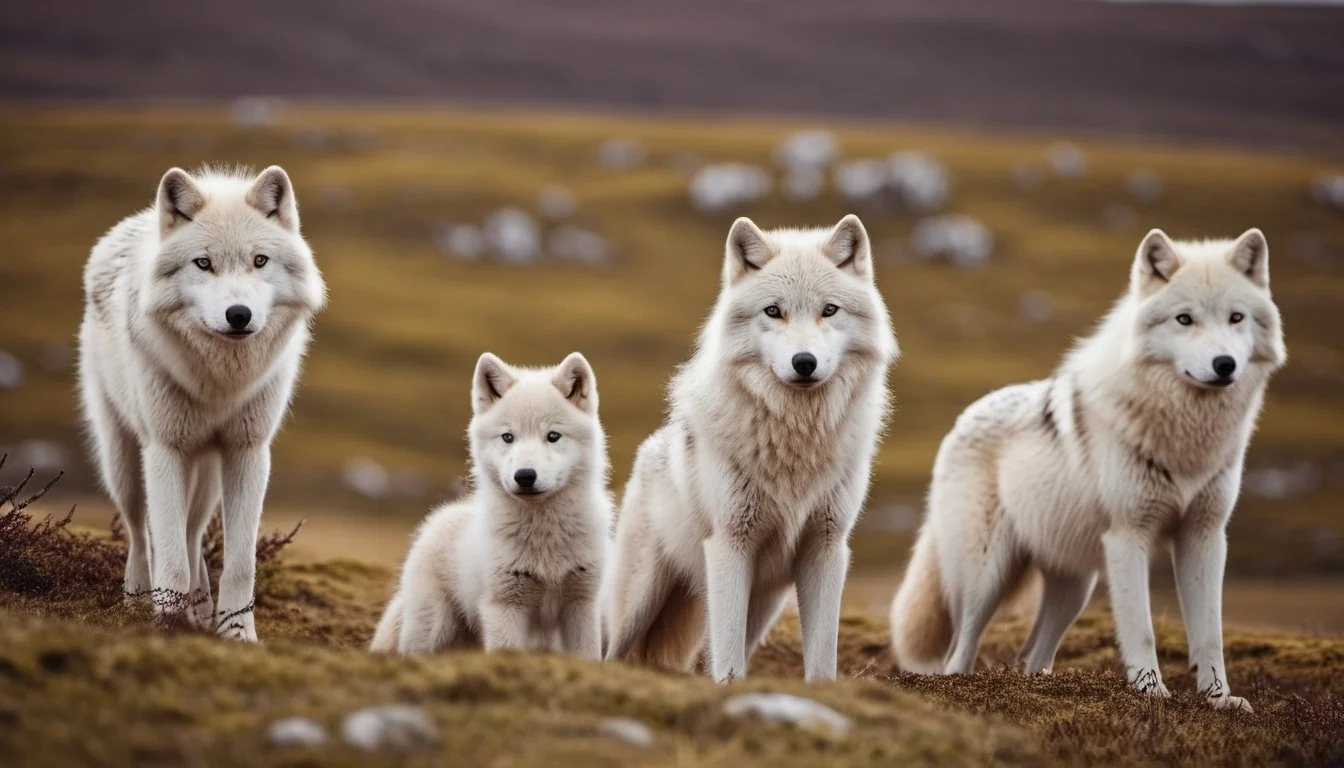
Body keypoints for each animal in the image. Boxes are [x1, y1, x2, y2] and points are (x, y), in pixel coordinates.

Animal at [78, 165, 326, 640]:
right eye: (204, 263)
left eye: (260, 261)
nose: (239, 314)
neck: (220, 382)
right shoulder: (164, 451)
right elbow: (170, 557)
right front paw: (168, 625)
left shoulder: (248, 452)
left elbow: (239, 564)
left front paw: (236, 631)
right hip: (124, 463)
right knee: (141, 534)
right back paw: (136, 599)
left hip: (208, 473)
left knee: (193, 536)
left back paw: (202, 607)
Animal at [369, 352, 611, 658]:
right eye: (508, 437)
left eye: (553, 436)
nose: (525, 475)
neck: (544, 540)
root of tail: (435, 521)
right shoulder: (504, 606)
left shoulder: (582, 604)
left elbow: (587, 656)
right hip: (433, 629)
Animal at [604, 215, 899, 682]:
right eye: (773, 311)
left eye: (829, 310)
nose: (804, 362)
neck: (795, 438)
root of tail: (650, 447)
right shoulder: (729, 545)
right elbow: (726, 660)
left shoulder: (827, 548)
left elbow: (821, 657)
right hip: (638, 603)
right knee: (611, 653)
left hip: (763, 604)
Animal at [890, 228, 1285, 711]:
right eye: (1184, 319)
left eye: (1236, 318)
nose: (1224, 365)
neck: (1186, 439)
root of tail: (962, 419)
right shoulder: (1129, 536)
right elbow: (1142, 630)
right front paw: (1152, 694)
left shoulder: (1205, 537)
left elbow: (1210, 634)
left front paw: (1218, 700)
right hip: (987, 577)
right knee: (958, 652)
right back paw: (961, 689)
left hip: (1075, 587)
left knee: (1032, 654)